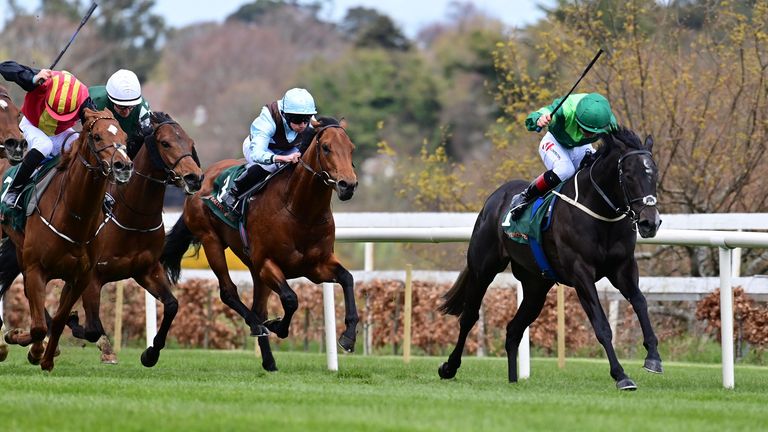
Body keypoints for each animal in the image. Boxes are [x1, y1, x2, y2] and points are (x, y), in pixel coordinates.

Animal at [1, 109, 133, 372]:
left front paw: (46, 357)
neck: (75, 216)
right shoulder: (37, 268)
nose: (123, 166)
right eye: (96, 136)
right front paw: (22, 341)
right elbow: (39, 325)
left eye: (124, 136)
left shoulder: (79, 277)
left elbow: (59, 319)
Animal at [163, 116, 360, 370]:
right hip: (211, 241)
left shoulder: (317, 266)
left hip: (254, 269)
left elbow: (347, 278)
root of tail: (201, 177)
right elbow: (291, 299)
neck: (300, 211)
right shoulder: (267, 263)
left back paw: (269, 361)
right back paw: (258, 326)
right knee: (229, 292)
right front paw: (276, 326)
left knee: (258, 307)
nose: (348, 185)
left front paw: (348, 336)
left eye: (351, 148)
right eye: (326, 147)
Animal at [440, 126, 664, 390]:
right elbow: (601, 325)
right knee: (469, 317)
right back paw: (449, 367)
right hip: (482, 269)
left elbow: (640, 302)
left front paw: (653, 357)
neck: (600, 213)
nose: (650, 222)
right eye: (628, 175)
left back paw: (513, 380)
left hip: (536, 285)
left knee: (513, 329)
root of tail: (495, 198)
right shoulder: (581, 273)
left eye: (654, 173)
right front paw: (621, 375)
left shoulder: (623, 267)